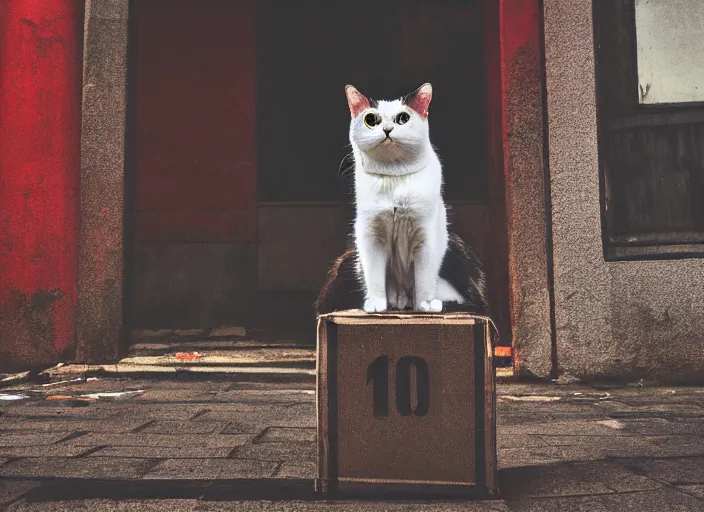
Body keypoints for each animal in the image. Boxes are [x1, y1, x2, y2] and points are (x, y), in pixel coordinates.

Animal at [314, 83, 490, 316]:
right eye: (371, 119)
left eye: (403, 118)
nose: (387, 129)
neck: (394, 178)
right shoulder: (370, 234)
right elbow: (374, 276)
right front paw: (377, 304)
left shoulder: (426, 235)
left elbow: (424, 278)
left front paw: (424, 305)